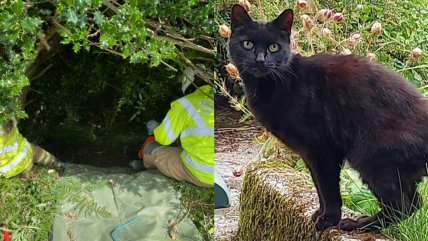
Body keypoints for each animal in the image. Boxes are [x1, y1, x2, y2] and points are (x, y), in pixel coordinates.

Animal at [229, 4, 428, 232]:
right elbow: (318, 186)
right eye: (247, 44)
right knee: (414, 202)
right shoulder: (308, 153)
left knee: (402, 205)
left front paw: (328, 219)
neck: (275, 84)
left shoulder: (322, 148)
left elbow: (328, 188)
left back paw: (359, 224)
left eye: (273, 47)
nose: (260, 60)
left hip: (371, 158)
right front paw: (318, 214)